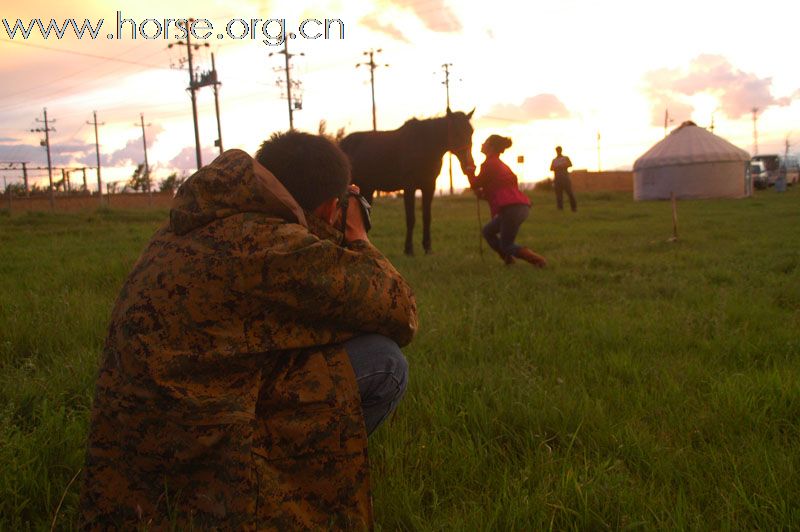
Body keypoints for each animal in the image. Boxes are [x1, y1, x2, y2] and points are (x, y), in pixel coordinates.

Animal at [340, 107, 476, 254]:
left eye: (471, 131)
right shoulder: (409, 187)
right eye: (456, 132)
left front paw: (427, 248)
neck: (424, 146)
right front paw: (409, 249)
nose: (470, 167)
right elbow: (411, 218)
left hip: (367, 188)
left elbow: (427, 217)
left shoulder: (429, 186)